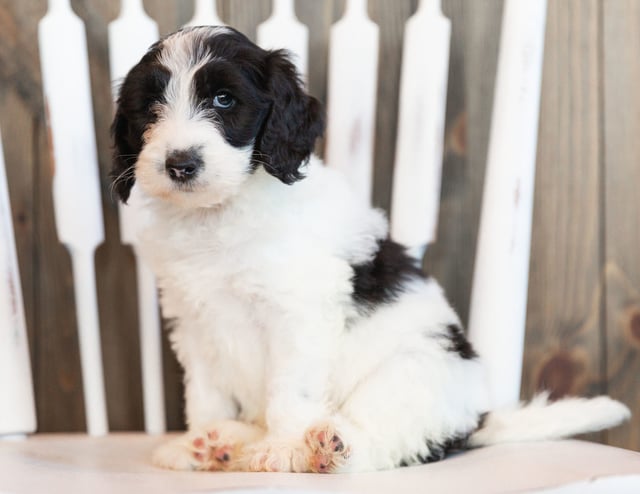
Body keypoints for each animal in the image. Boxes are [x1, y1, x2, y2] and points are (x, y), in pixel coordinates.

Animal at [111, 25, 632, 472]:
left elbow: (290, 389)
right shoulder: (194, 320)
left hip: (414, 371)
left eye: (223, 99)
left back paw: (328, 446)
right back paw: (226, 442)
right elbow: (205, 392)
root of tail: (477, 419)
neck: (217, 213)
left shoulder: (297, 310)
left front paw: (282, 448)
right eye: (151, 107)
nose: (180, 163)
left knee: (384, 440)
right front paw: (196, 443)